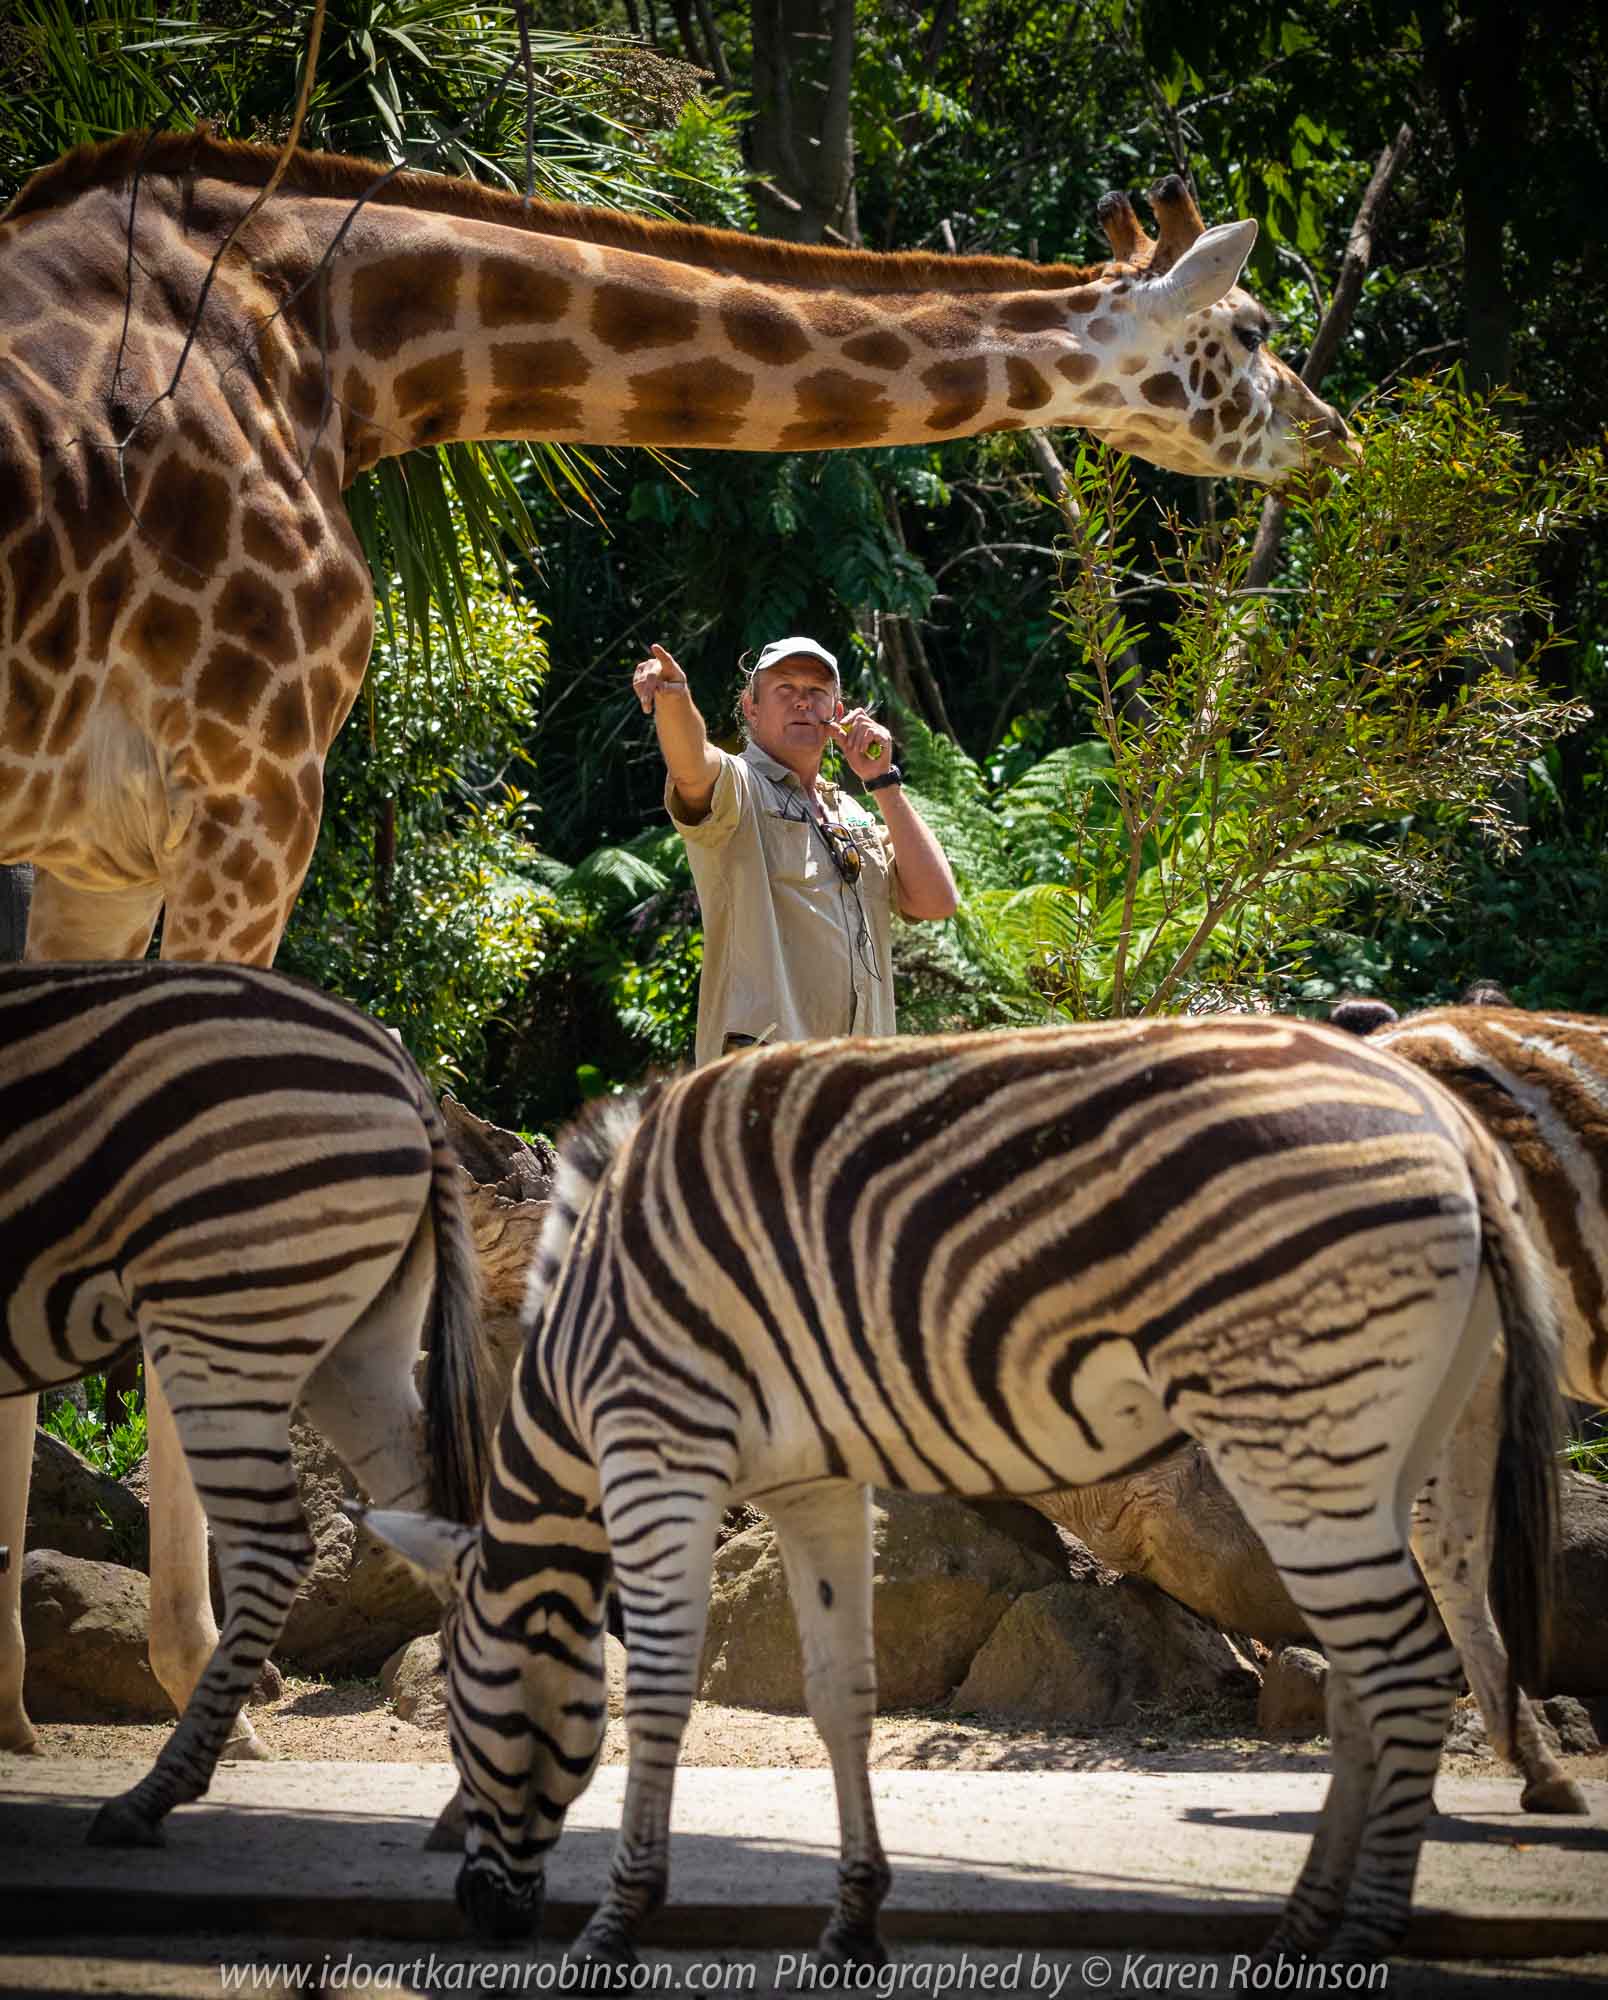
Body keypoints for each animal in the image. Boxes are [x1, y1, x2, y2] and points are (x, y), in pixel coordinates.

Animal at [0, 959, 489, 1847]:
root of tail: (403, 1071)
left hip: (224, 1315)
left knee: (273, 1547)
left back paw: (152, 1796)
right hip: (357, 1346)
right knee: (437, 1520)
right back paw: (469, 1802)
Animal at [357, 1015, 1564, 1968]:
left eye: (461, 1707)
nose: (481, 1917)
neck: (575, 1349)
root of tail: (1445, 1120)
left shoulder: (659, 1451)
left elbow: (656, 1692)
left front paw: (616, 1925)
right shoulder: (814, 1480)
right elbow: (842, 1694)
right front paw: (851, 1924)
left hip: (1296, 1433)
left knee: (1404, 1672)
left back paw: (1365, 1933)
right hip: (1394, 1447)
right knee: (1367, 1679)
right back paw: (1301, 1928)